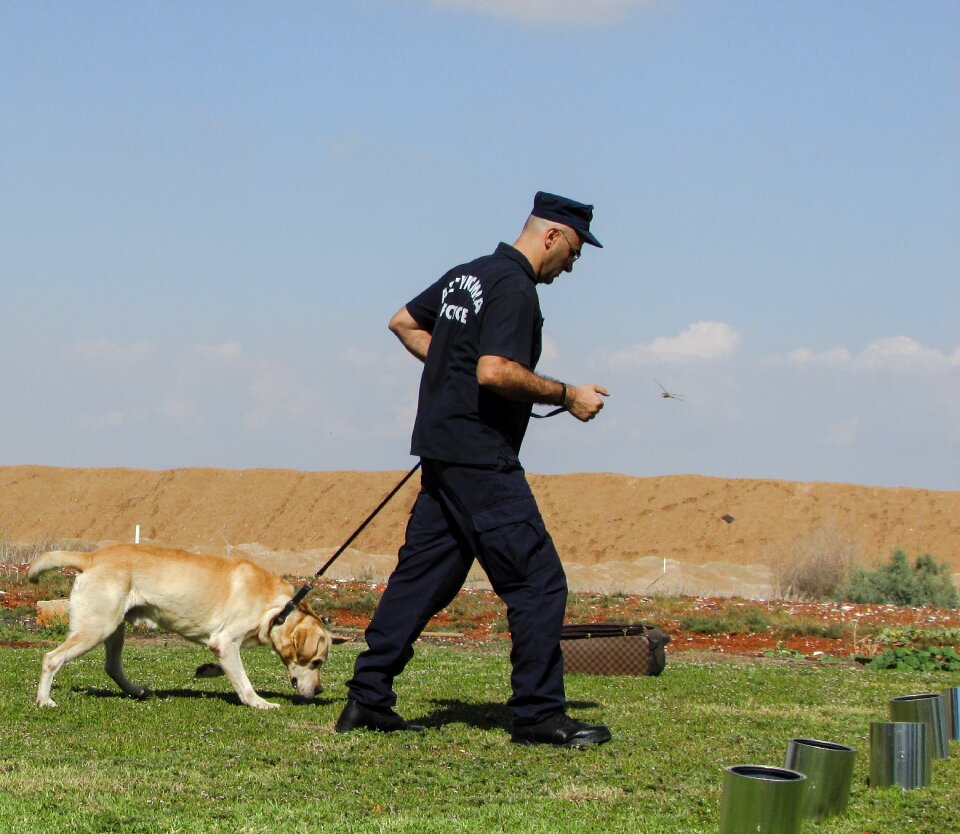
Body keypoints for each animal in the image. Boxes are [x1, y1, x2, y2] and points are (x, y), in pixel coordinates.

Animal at [28, 544, 344, 708]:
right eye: (317, 662)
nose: (319, 691)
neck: (280, 608)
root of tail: (91, 557)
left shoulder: (223, 645)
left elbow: (230, 669)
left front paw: (208, 669)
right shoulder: (225, 641)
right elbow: (243, 681)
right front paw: (258, 702)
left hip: (114, 629)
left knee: (112, 667)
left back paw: (135, 690)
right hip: (96, 628)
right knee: (51, 658)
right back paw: (44, 699)